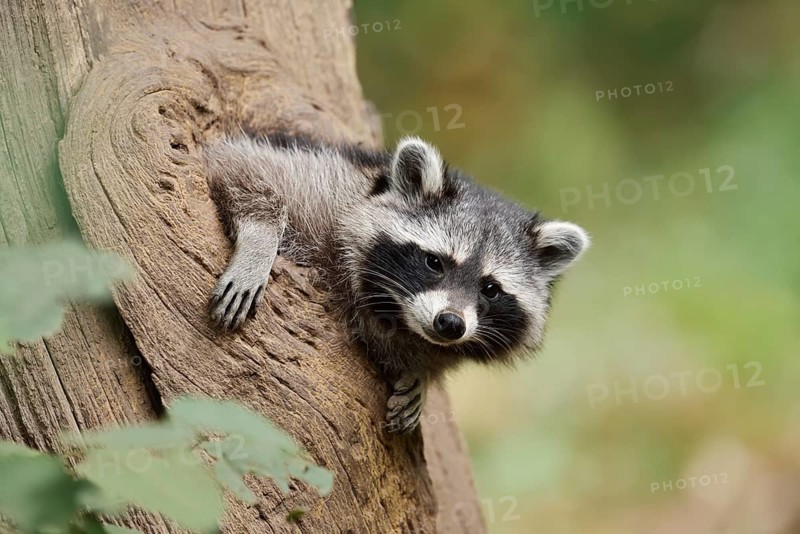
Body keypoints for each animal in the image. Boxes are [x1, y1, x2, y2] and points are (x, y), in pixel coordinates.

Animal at [204, 132, 589, 433]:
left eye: (490, 289)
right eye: (434, 262)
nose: (450, 324)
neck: (395, 314)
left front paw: (421, 371)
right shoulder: (325, 188)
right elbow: (243, 165)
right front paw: (260, 240)